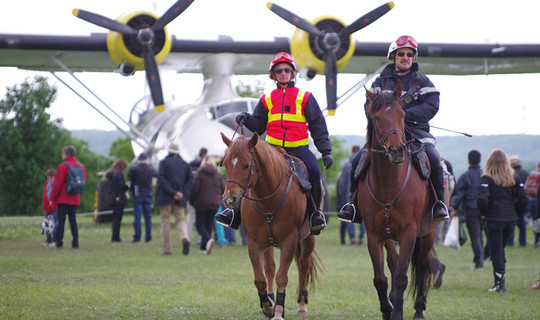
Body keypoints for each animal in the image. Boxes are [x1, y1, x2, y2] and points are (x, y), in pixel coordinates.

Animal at [220, 132, 320, 320]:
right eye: (226, 164)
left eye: (246, 165)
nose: (229, 199)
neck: (269, 198)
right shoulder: (254, 242)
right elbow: (260, 278)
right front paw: (267, 306)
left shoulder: (289, 241)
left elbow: (282, 277)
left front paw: (279, 311)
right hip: (268, 243)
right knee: (270, 268)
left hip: (308, 238)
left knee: (303, 264)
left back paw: (302, 305)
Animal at [356, 82, 440, 320]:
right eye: (377, 118)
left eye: (403, 115)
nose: (396, 150)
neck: (388, 184)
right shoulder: (374, 234)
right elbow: (381, 278)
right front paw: (387, 310)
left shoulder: (409, 232)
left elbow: (402, 278)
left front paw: (397, 312)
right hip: (389, 235)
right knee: (394, 265)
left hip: (428, 232)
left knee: (424, 265)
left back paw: (419, 310)